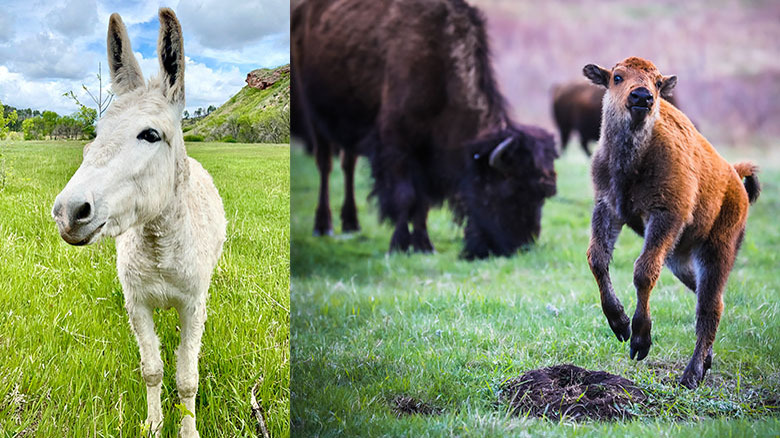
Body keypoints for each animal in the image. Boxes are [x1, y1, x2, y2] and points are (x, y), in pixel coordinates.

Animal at [290, 0, 556, 258]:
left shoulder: (427, 157)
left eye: (541, 197)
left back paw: (351, 223)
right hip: (316, 116)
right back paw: (323, 226)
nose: (520, 247)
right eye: (510, 191)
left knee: (348, 164)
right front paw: (398, 245)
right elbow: (405, 196)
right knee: (325, 164)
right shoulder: (398, 145)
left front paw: (424, 245)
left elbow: (422, 203)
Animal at [584, 56, 760, 388]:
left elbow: (644, 271)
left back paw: (691, 375)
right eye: (617, 77)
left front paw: (639, 341)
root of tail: (734, 177)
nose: (642, 97)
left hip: (717, 250)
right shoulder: (607, 208)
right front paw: (619, 324)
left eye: (657, 82)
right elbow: (597, 259)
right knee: (708, 296)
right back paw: (706, 361)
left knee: (710, 306)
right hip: (680, 257)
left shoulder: (666, 215)